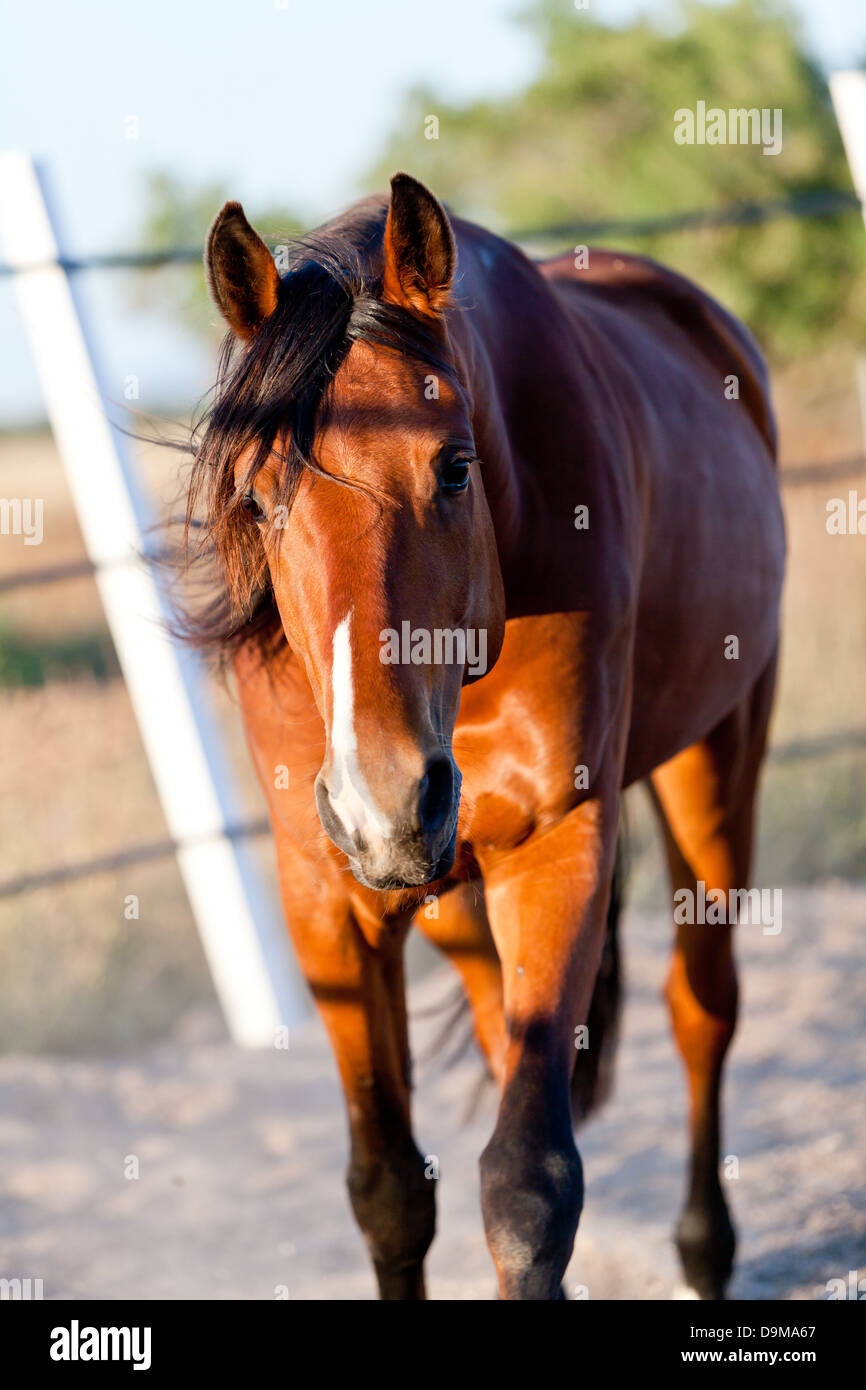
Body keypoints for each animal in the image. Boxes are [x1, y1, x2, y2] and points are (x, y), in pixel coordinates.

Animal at [189, 176, 783, 1301]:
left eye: (453, 468)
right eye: (257, 497)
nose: (383, 803)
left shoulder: (556, 844)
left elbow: (526, 1187)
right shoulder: (323, 895)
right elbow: (388, 1189)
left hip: (718, 758)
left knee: (705, 1008)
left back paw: (706, 1251)